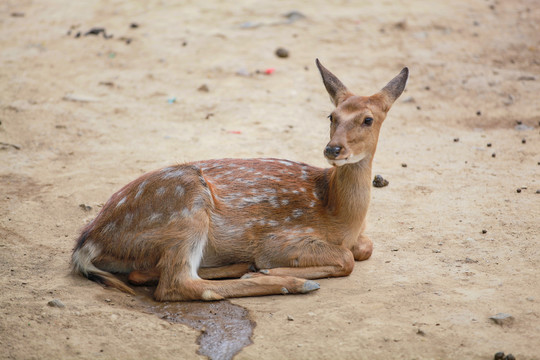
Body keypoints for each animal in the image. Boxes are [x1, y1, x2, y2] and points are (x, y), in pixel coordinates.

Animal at [73, 59, 410, 300]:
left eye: (368, 119)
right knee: (175, 285)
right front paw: (267, 271)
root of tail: (88, 243)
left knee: (148, 275)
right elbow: (347, 259)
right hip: (186, 206)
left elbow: (364, 248)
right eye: (332, 116)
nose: (333, 148)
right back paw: (292, 282)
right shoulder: (279, 238)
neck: (341, 216)